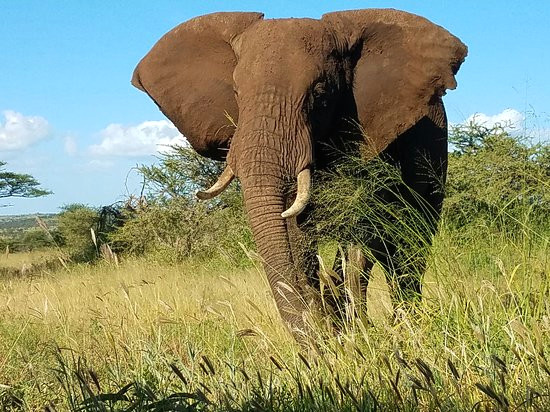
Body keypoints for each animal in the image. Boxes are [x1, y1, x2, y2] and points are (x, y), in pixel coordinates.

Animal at [132, 8, 468, 338]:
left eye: (319, 93)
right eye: (237, 93)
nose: (319, 333)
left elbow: (363, 227)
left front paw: (349, 330)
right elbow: (296, 232)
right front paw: (334, 328)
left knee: (409, 242)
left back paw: (403, 326)